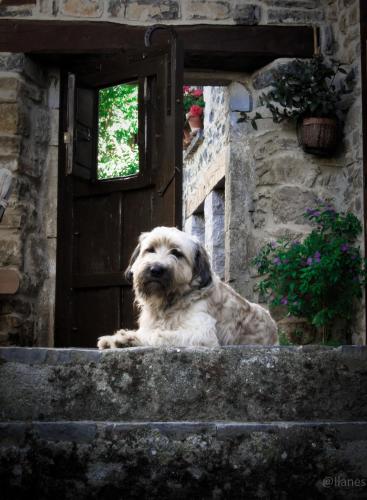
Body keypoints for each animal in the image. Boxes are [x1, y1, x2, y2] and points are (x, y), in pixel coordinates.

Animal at [98, 227, 278, 348]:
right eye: (150, 250)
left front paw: (128, 339)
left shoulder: (202, 333)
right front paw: (117, 337)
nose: (156, 270)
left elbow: (158, 335)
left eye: (176, 253)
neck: (170, 302)